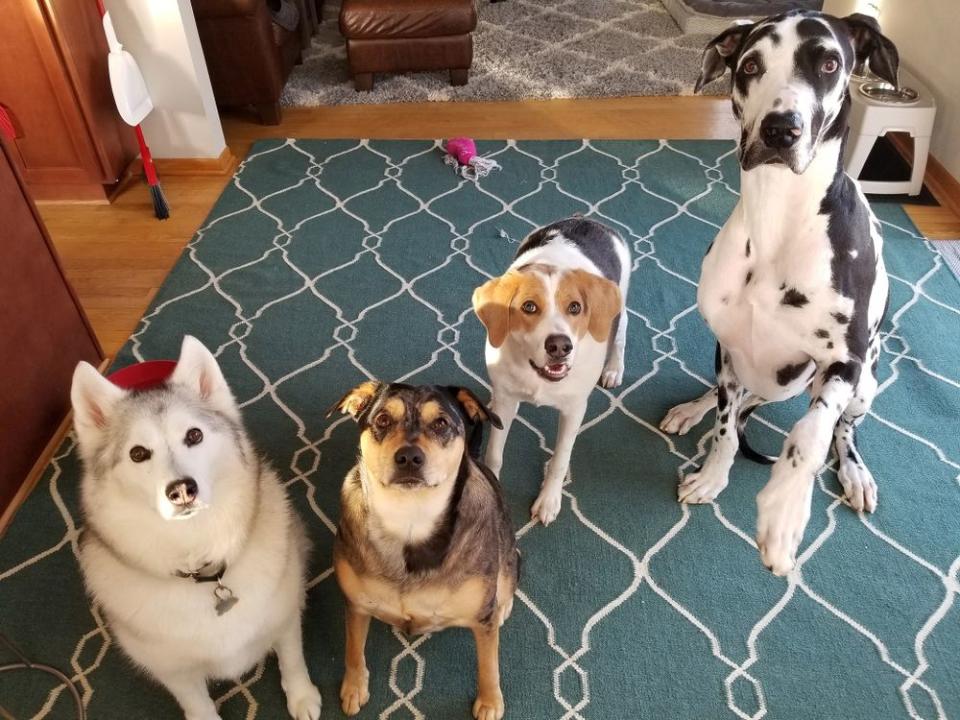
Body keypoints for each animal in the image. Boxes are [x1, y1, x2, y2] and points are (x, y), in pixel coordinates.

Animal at [69, 338, 322, 720]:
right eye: (138, 453)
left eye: (194, 435)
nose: (182, 490)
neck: (201, 560)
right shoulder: (175, 671)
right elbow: (197, 704)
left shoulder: (285, 614)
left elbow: (292, 659)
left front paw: (302, 696)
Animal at [334, 380, 520, 716]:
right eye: (382, 419)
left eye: (441, 423)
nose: (409, 457)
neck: (410, 519)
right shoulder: (355, 605)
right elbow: (353, 649)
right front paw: (354, 687)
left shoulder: (482, 622)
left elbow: (489, 664)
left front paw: (489, 702)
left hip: (509, 553)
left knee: (508, 579)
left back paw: (504, 605)